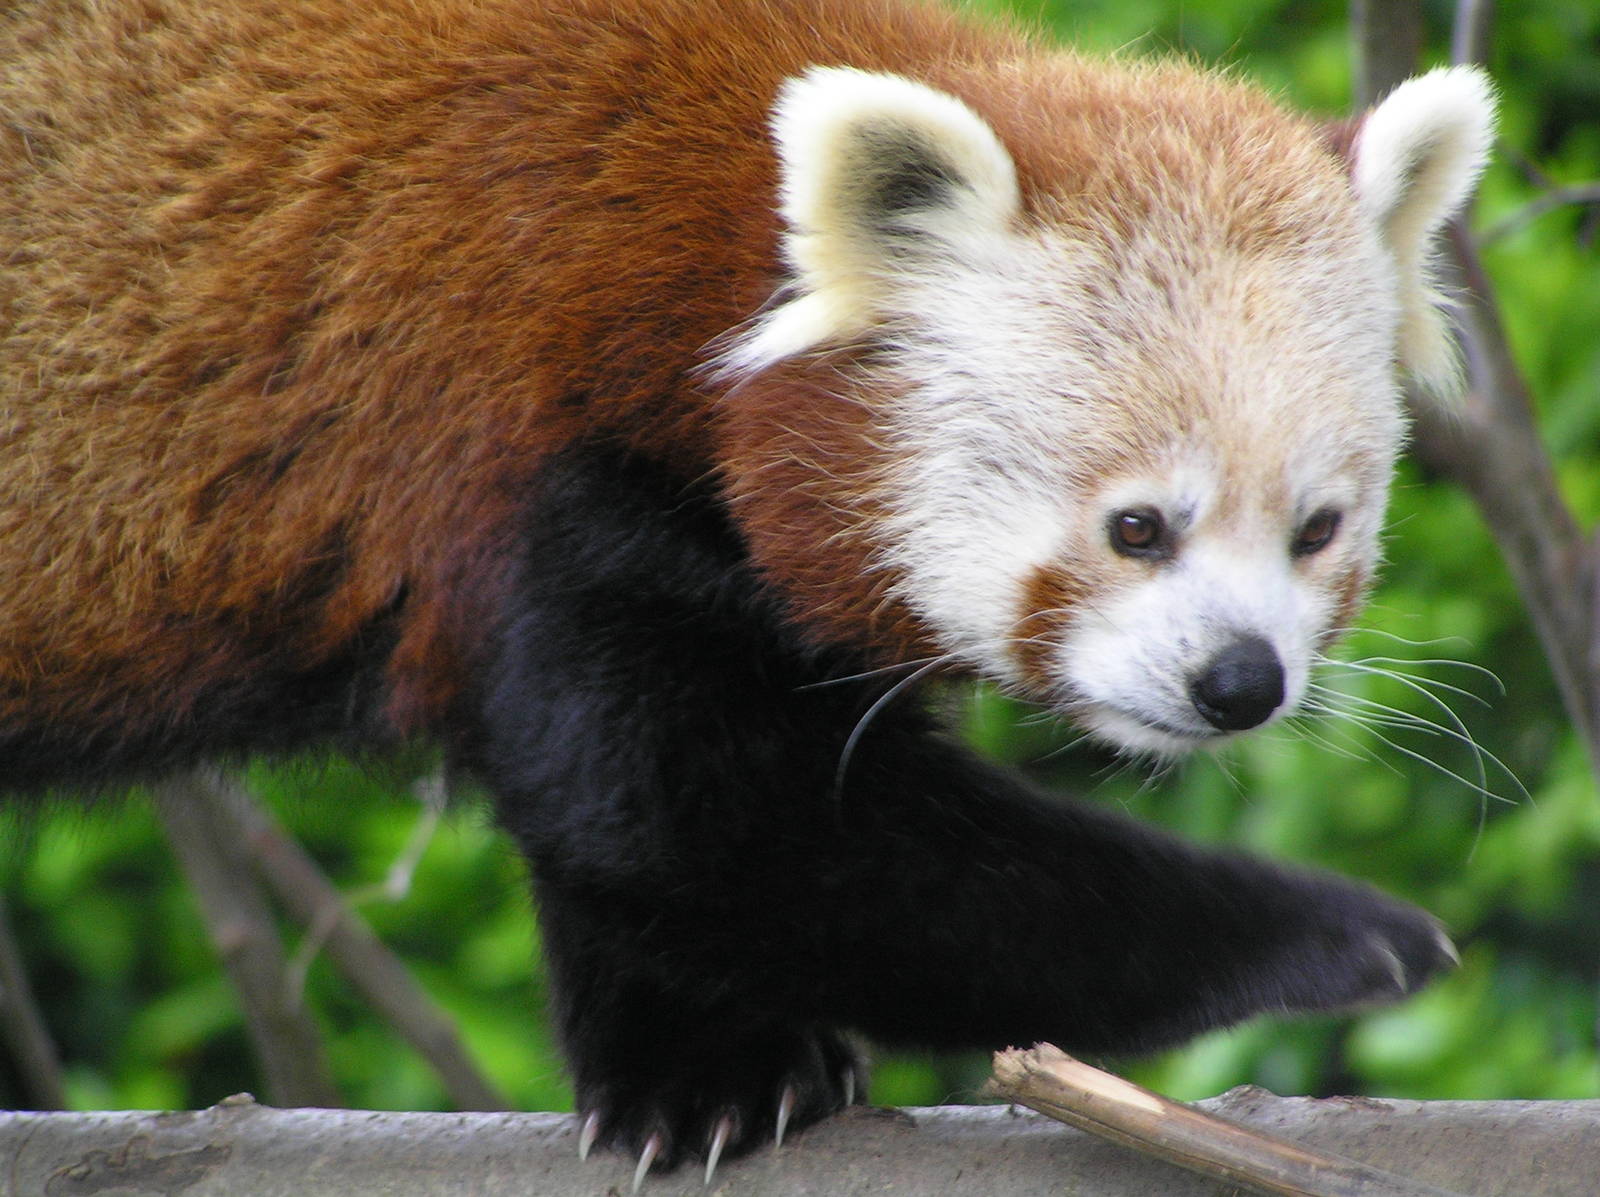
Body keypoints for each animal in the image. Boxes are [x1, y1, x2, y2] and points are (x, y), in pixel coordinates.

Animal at [0, 0, 1493, 1176]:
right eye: (1137, 528)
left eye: (1316, 530)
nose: (1239, 681)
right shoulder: (507, 440)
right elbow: (704, 816)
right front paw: (1344, 936)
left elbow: (658, 837)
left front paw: (694, 1074)